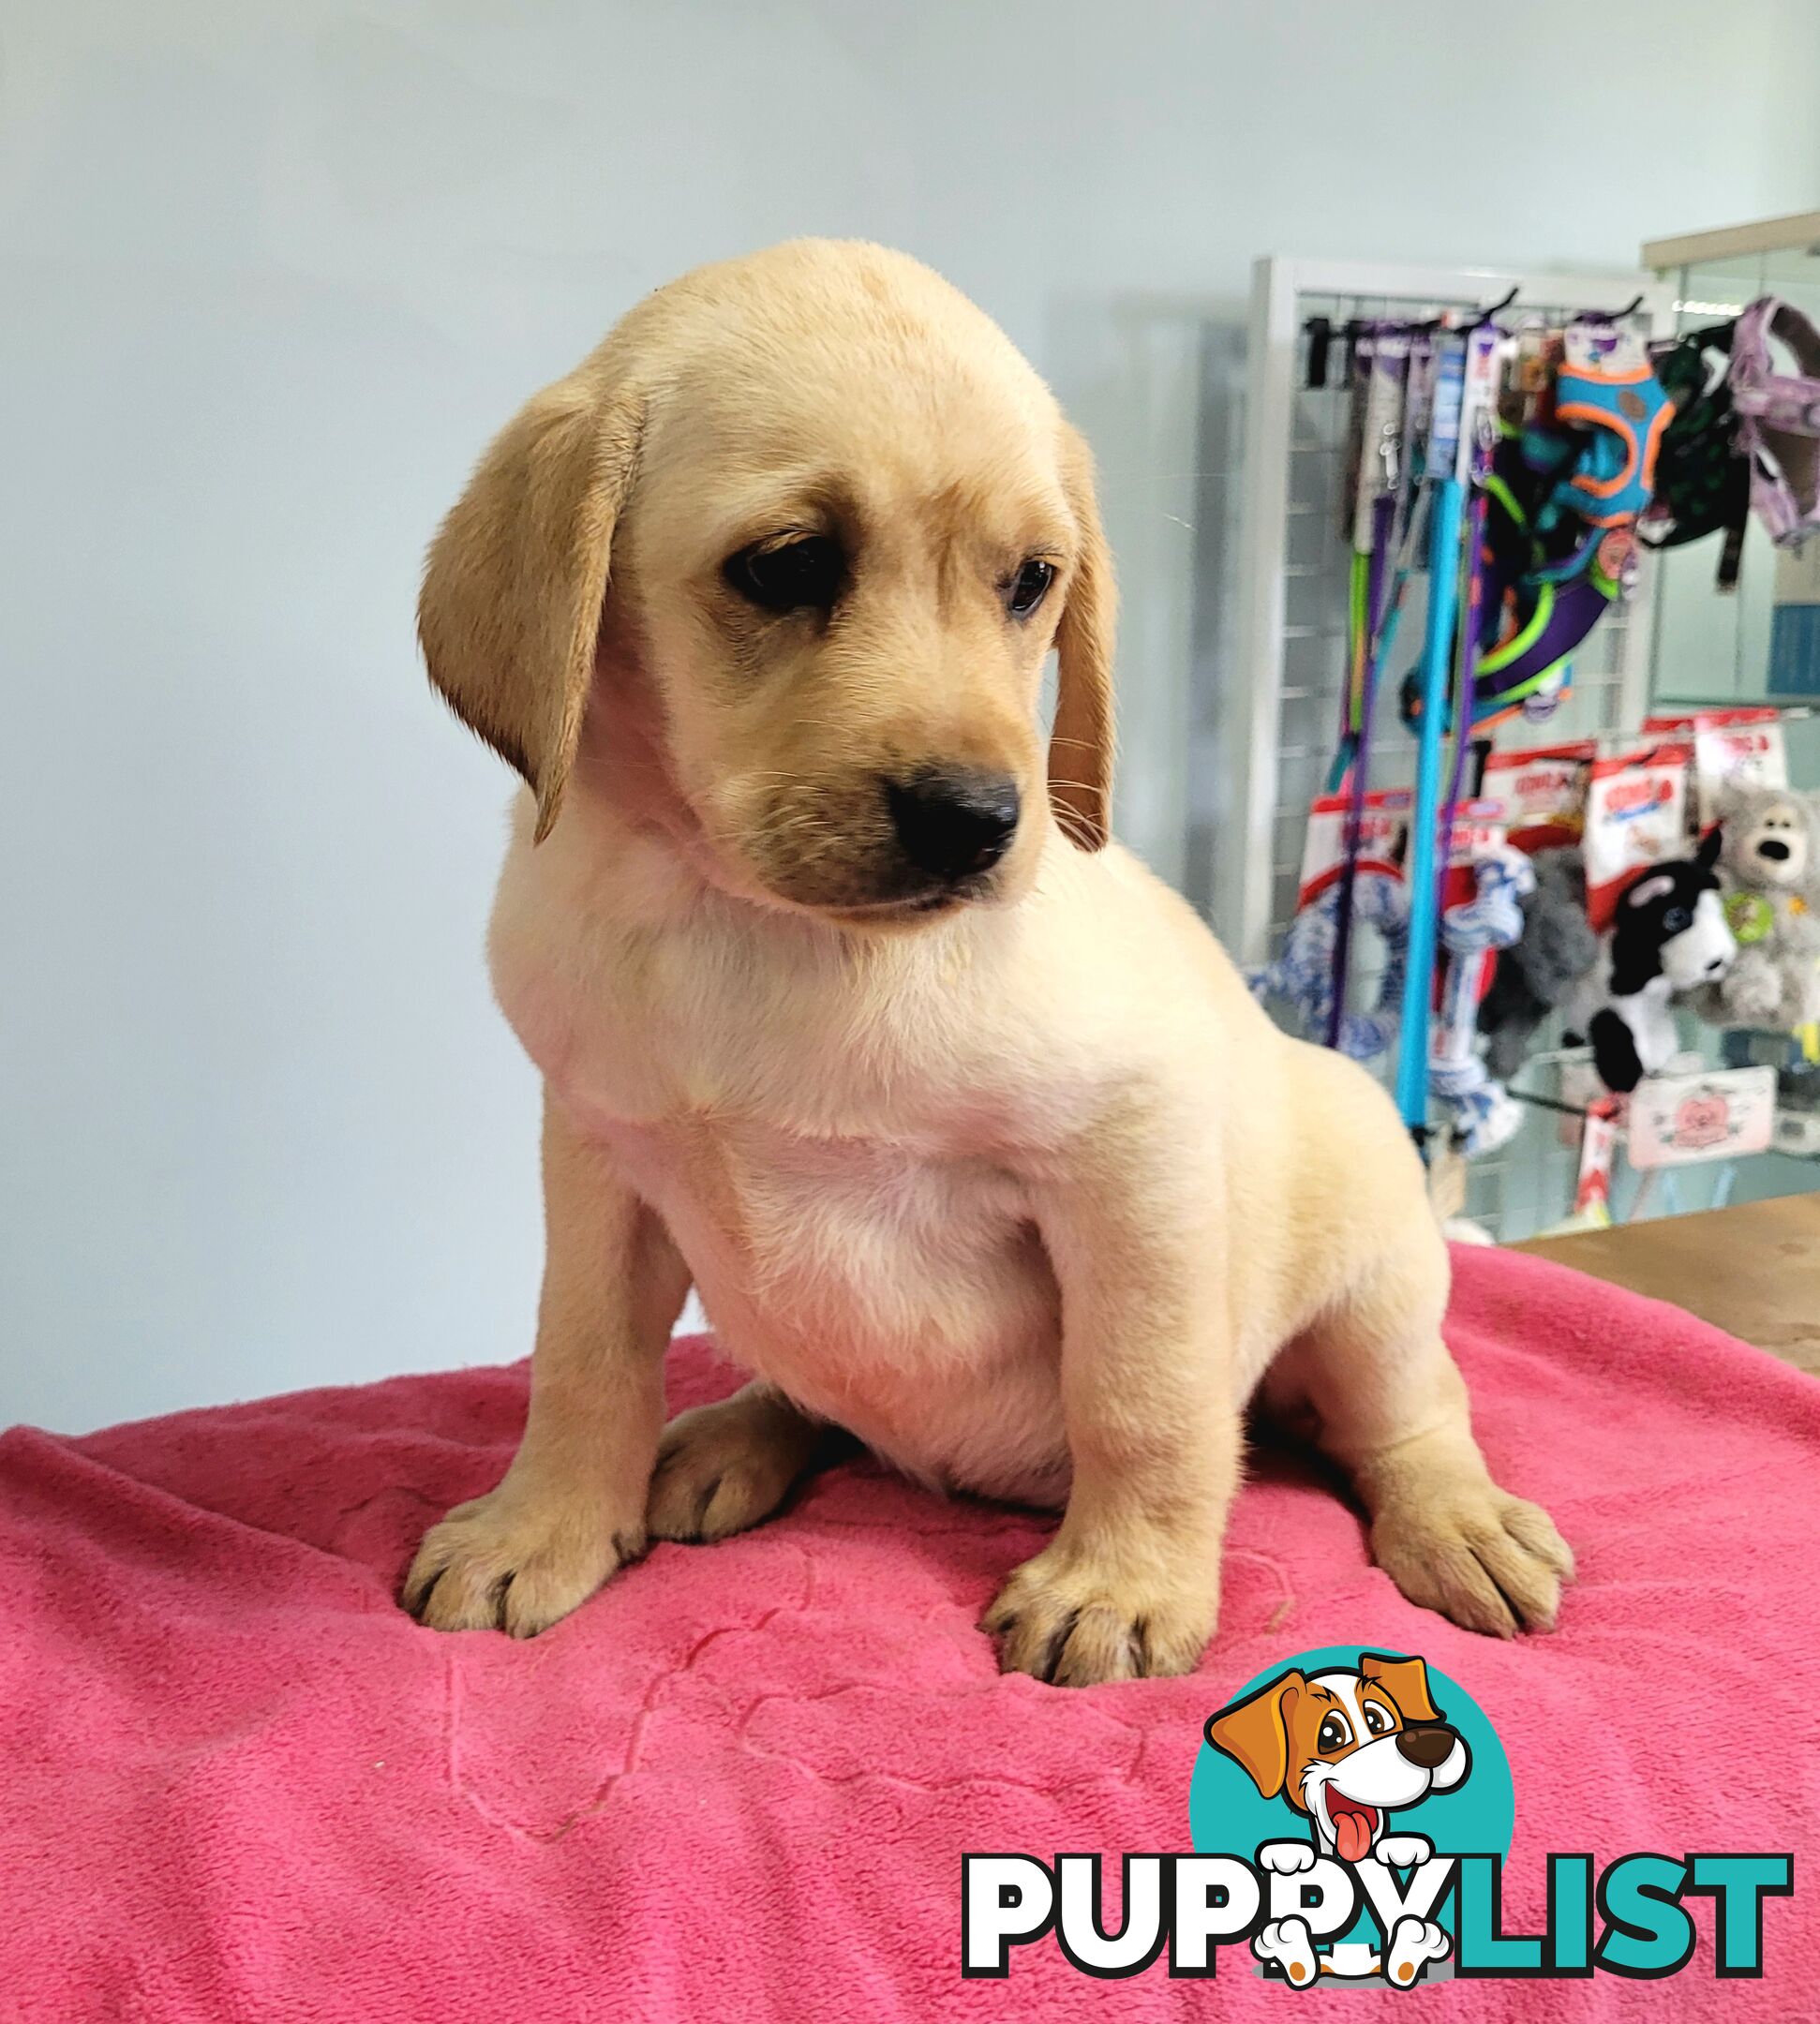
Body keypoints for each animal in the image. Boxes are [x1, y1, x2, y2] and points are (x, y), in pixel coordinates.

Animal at [405, 236, 1571, 1684]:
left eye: (1030, 582)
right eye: (786, 565)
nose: (977, 822)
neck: (754, 926)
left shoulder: (1129, 1168)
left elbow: (1142, 1399)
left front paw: (1122, 1583)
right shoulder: (597, 1159)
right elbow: (581, 1360)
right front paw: (548, 1524)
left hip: (1373, 1279)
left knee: (1409, 1408)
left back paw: (1460, 1518)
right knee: (815, 1396)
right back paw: (734, 1435)